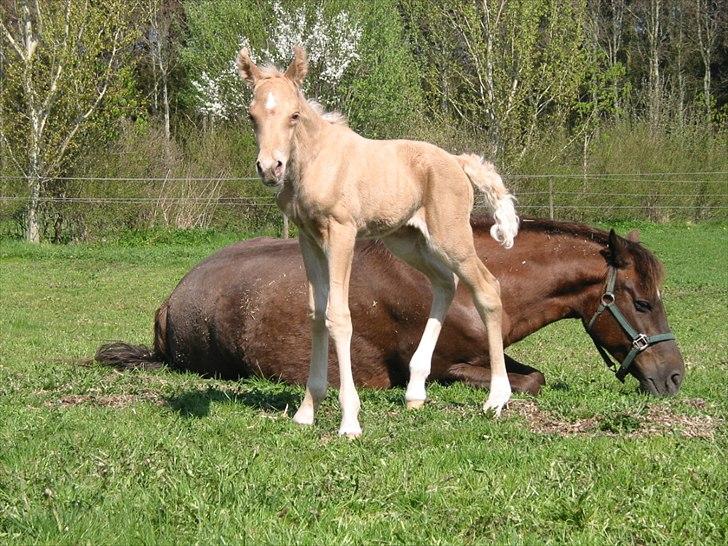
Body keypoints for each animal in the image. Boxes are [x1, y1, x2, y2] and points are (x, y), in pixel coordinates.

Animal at [95, 217, 684, 396]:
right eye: (642, 301)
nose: (675, 376)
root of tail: (169, 304)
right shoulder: (443, 367)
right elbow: (529, 381)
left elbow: (529, 374)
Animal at [237, 47, 516, 438]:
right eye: (252, 116)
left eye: (294, 115)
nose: (269, 168)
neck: (314, 160)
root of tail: (457, 161)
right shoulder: (308, 239)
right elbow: (316, 313)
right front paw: (307, 411)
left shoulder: (342, 233)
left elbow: (339, 315)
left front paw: (350, 420)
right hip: (408, 241)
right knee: (446, 284)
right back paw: (415, 391)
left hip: (451, 237)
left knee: (487, 288)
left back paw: (496, 398)